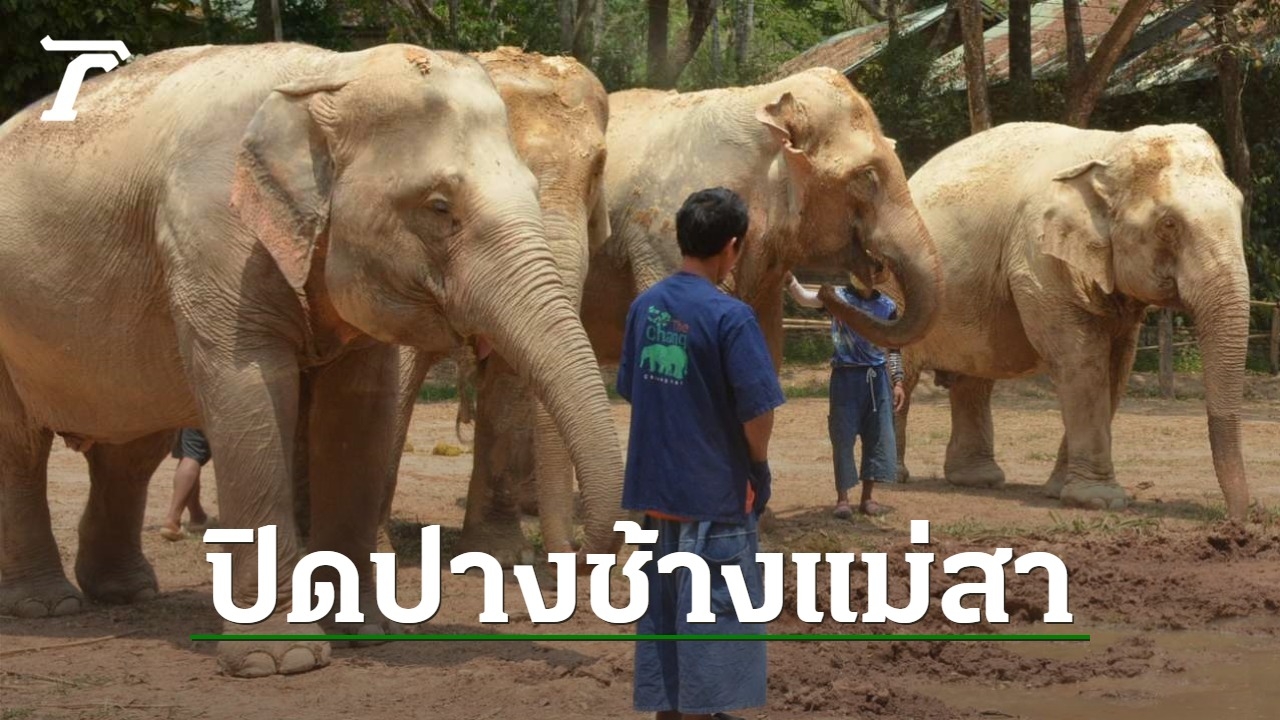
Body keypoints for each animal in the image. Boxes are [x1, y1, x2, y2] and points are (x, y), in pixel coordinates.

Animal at [893, 122, 1251, 518]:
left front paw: (1058, 492)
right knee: (906, 372)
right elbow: (1082, 359)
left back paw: (978, 480)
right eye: (1169, 223)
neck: (1109, 150)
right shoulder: (1038, 263)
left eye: (1240, 206)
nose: (1237, 521)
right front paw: (1098, 501)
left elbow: (1115, 365)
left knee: (974, 380)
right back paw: (893, 477)